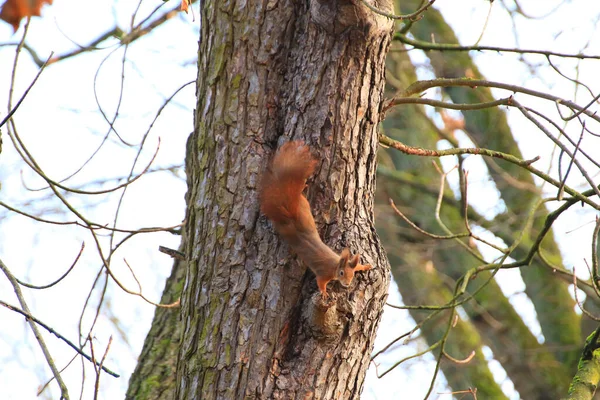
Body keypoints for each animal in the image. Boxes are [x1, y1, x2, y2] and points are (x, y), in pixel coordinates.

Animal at [258, 141, 370, 296]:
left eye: (352, 274)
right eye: (342, 273)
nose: (347, 284)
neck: (336, 264)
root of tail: (292, 216)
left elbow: (357, 265)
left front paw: (366, 266)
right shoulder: (324, 273)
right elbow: (320, 281)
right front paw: (323, 292)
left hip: (304, 206)